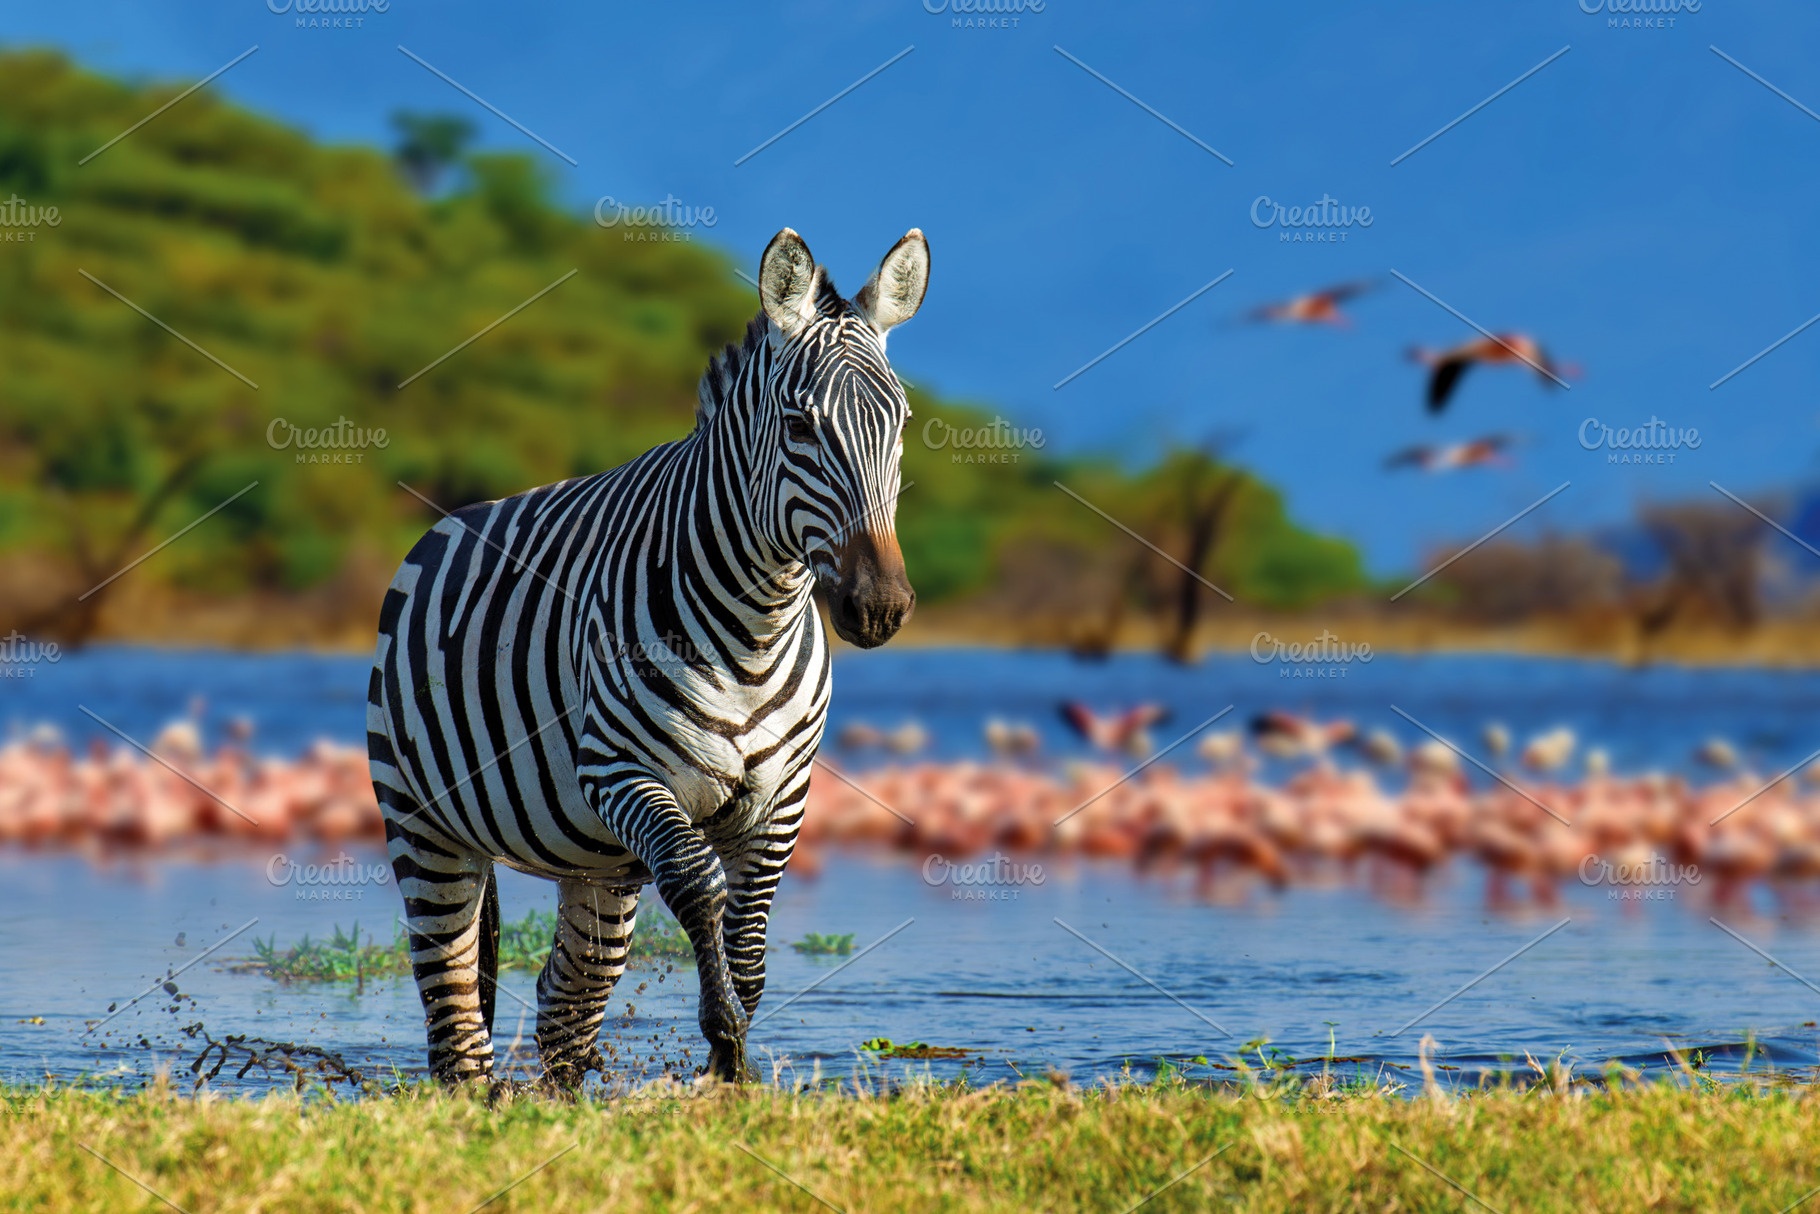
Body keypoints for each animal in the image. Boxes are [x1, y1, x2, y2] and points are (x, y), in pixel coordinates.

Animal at [366, 228, 927, 1085]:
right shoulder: (623, 771)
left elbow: (750, 943)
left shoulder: (783, 798)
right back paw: (471, 1101)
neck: (754, 630)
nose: (880, 608)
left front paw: (730, 1068)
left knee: (568, 997)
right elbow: (699, 888)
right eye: (799, 427)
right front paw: (724, 1042)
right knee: (454, 1007)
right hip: (425, 823)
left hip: (595, 860)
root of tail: (443, 526)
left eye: (900, 425)